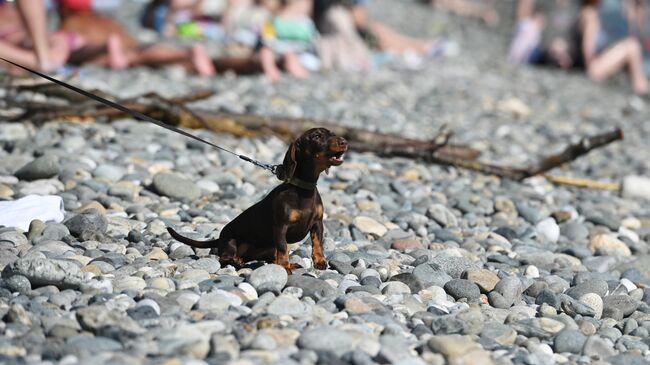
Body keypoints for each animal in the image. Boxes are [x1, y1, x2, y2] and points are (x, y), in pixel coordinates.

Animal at [170, 126, 346, 272]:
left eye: (332, 133)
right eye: (316, 136)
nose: (344, 142)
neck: (303, 189)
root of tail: (220, 238)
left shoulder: (317, 223)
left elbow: (317, 244)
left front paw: (320, 261)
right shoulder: (281, 227)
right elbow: (283, 248)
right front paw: (285, 267)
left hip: (267, 247)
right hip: (231, 242)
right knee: (225, 259)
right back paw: (236, 262)